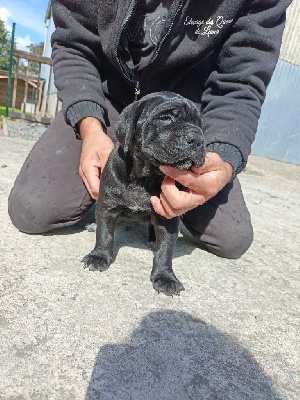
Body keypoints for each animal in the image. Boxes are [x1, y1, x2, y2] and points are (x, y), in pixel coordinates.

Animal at [82, 92, 205, 296]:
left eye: (200, 126)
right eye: (166, 118)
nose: (197, 140)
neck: (145, 177)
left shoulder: (169, 217)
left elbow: (165, 250)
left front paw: (165, 277)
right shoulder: (107, 206)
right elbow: (105, 234)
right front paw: (99, 256)